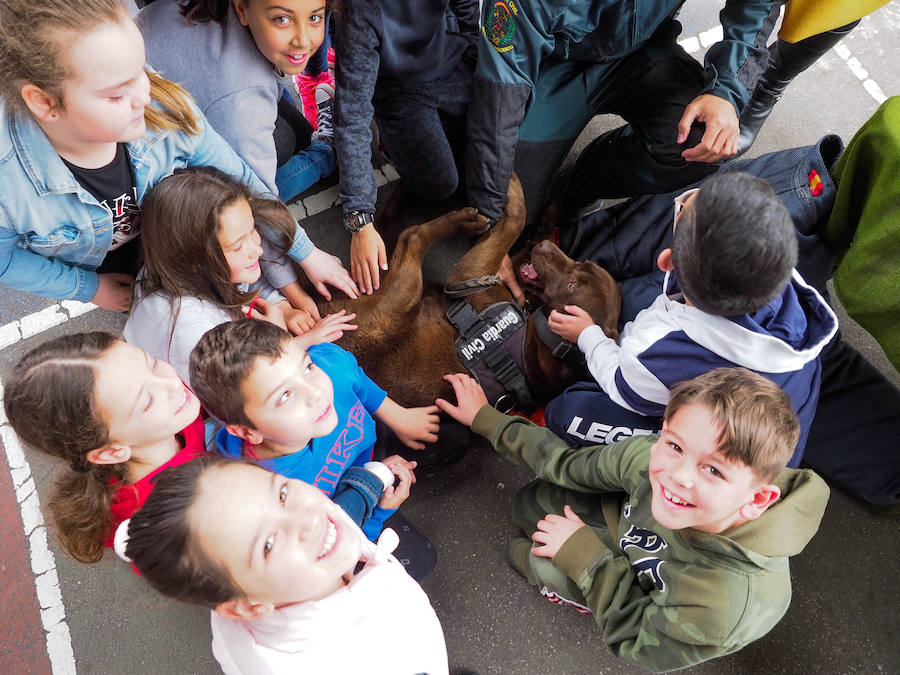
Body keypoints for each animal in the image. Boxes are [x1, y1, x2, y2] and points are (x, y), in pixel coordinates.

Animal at [316, 174, 620, 412]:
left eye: (572, 285)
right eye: (583, 263)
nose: (546, 247)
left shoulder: (470, 275)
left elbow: (515, 220)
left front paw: (511, 187)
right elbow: (519, 236)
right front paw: (549, 218)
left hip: (396, 301)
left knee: (410, 236)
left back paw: (460, 221)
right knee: (386, 231)